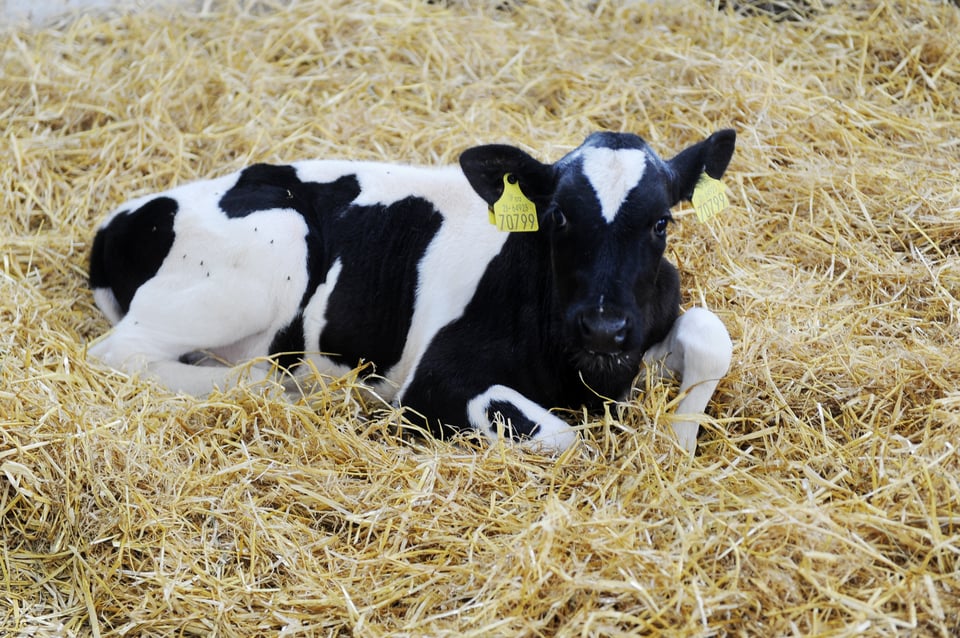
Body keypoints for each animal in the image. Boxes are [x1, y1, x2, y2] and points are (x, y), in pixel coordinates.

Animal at [88, 129, 736, 454]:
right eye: (558, 217)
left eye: (661, 222)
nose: (603, 327)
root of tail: (122, 219)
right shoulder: (435, 382)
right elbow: (561, 435)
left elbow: (711, 334)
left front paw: (676, 445)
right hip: (275, 244)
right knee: (119, 353)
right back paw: (277, 388)